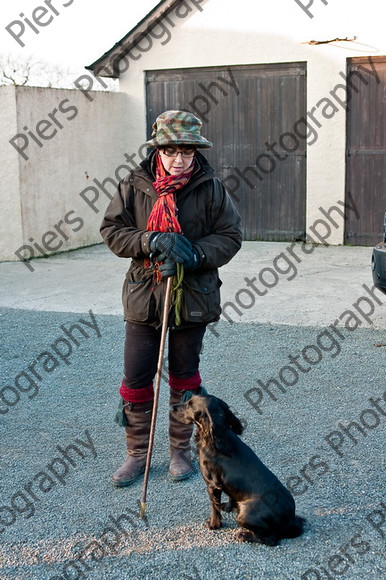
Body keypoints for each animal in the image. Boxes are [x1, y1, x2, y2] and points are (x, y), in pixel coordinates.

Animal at [171, 392, 304, 548]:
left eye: (190, 405)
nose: (172, 408)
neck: (216, 439)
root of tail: (290, 521)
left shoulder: (212, 485)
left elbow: (214, 507)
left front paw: (214, 524)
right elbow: (231, 496)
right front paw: (228, 507)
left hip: (245, 514)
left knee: (271, 540)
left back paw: (244, 535)